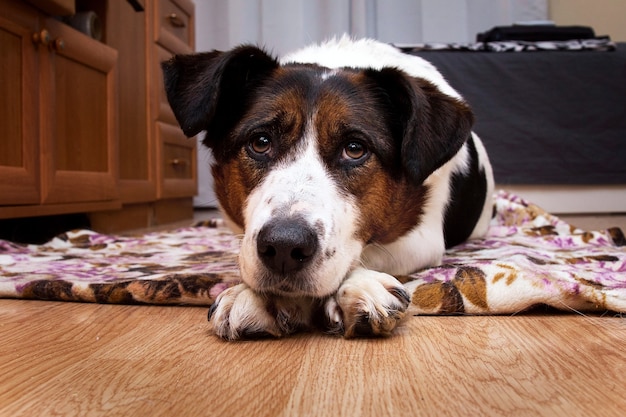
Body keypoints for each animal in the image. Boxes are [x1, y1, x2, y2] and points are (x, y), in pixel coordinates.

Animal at [161, 37, 492, 340]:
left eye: (355, 149)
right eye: (261, 142)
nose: (283, 247)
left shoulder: (425, 237)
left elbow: (368, 252)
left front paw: (360, 286)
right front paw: (253, 295)